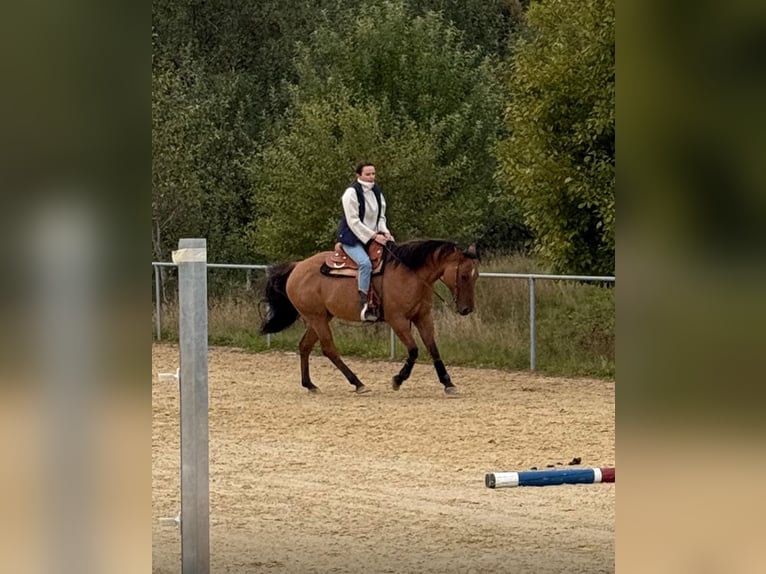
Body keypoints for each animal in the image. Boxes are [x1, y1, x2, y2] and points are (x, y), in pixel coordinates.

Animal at [259, 239, 479, 395]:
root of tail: (297, 267)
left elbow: (433, 349)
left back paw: (310, 385)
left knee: (305, 346)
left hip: (320, 317)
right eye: (464, 275)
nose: (467, 309)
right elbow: (414, 350)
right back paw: (357, 383)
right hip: (317, 318)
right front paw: (398, 380)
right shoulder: (398, 320)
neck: (411, 274)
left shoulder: (423, 317)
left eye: (475, 275)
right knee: (328, 348)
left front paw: (448, 382)